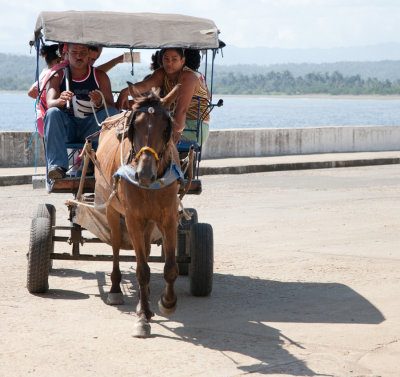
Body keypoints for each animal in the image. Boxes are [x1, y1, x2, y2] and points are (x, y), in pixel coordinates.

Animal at [95, 83, 181, 336]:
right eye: (136, 126)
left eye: (166, 127)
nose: (144, 174)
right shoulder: (132, 218)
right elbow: (142, 270)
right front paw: (143, 317)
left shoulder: (169, 218)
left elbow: (171, 267)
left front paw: (167, 302)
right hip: (113, 211)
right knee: (115, 245)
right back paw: (115, 288)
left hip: (149, 220)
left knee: (145, 245)